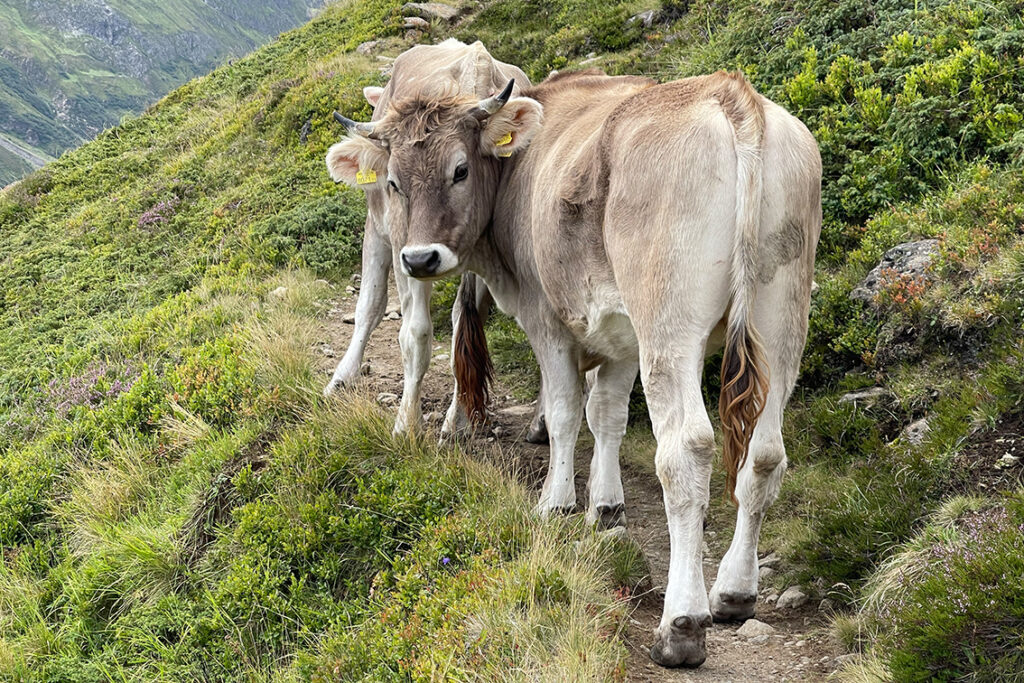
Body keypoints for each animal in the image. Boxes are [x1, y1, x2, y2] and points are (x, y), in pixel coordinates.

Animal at [325, 40, 552, 440]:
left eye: (460, 171)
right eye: (393, 181)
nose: (422, 260)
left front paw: (443, 419)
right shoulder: (399, 241)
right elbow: (407, 329)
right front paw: (407, 422)